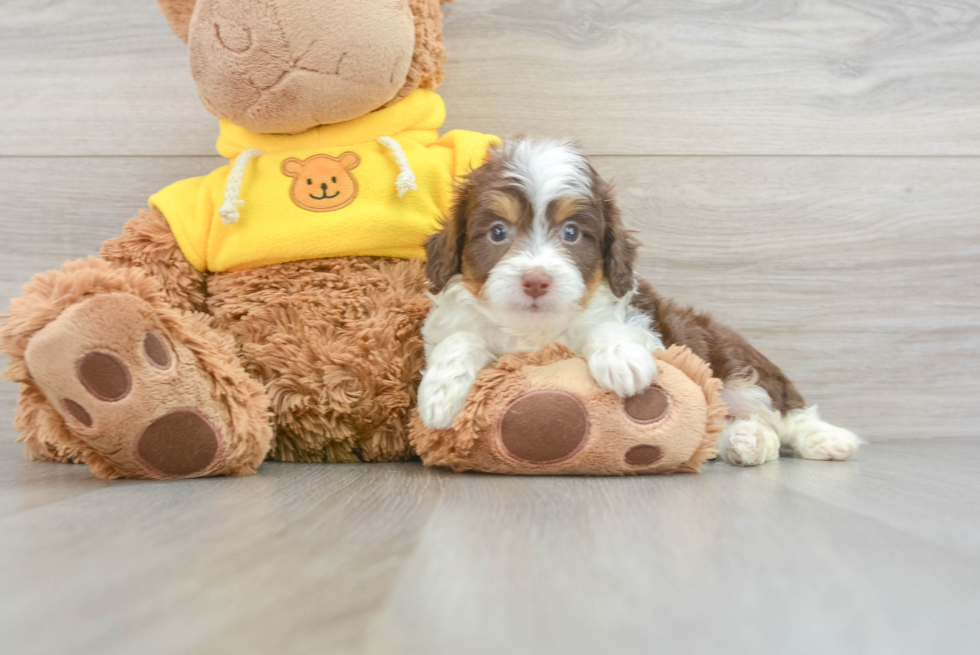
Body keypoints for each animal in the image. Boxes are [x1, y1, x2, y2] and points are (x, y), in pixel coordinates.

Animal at [420, 138, 856, 466]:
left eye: (572, 232)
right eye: (497, 232)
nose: (536, 280)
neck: (535, 330)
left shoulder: (648, 329)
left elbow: (610, 328)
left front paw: (622, 362)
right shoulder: (455, 324)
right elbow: (461, 338)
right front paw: (440, 393)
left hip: (736, 363)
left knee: (786, 412)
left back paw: (827, 439)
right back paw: (746, 441)